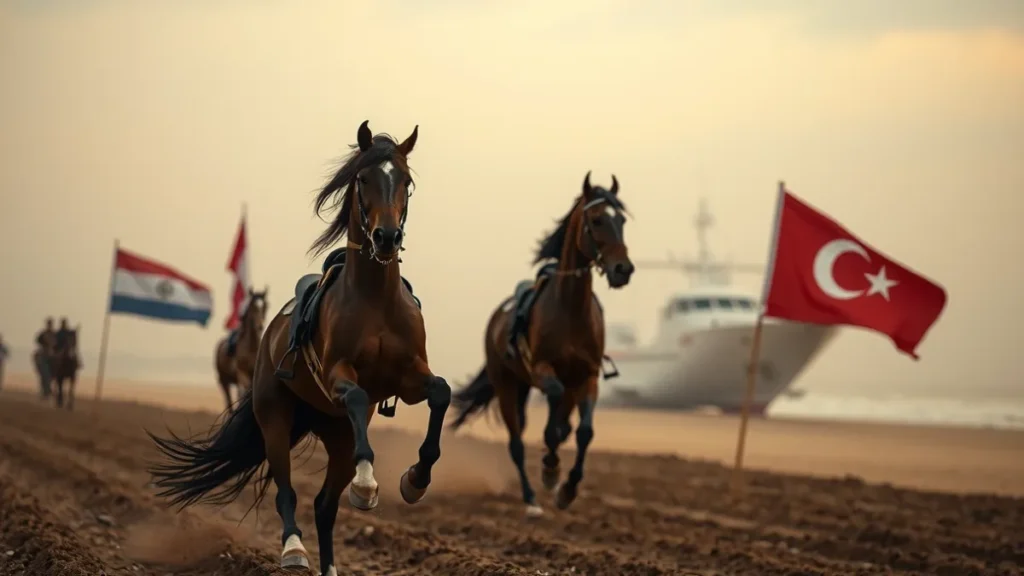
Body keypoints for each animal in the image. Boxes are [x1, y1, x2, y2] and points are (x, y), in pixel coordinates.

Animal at [146, 120, 452, 576]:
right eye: (363, 178)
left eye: (406, 182)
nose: (386, 237)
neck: (375, 299)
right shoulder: (337, 374)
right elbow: (357, 395)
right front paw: (368, 483)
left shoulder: (410, 377)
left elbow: (441, 393)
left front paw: (415, 480)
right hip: (276, 420)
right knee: (287, 493)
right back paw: (294, 549)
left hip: (336, 433)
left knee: (325, 506)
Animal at [449, 172, 634, 517]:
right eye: (597, 219)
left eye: (622, 220)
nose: (623, 269)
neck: (571, 309)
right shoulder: (542, 368)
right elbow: (551, 420)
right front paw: (550, 469)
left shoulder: (587, 376)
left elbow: (584, 432)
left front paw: (568, 489)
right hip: (508, 385)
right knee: (517, 442)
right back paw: (531, 498)